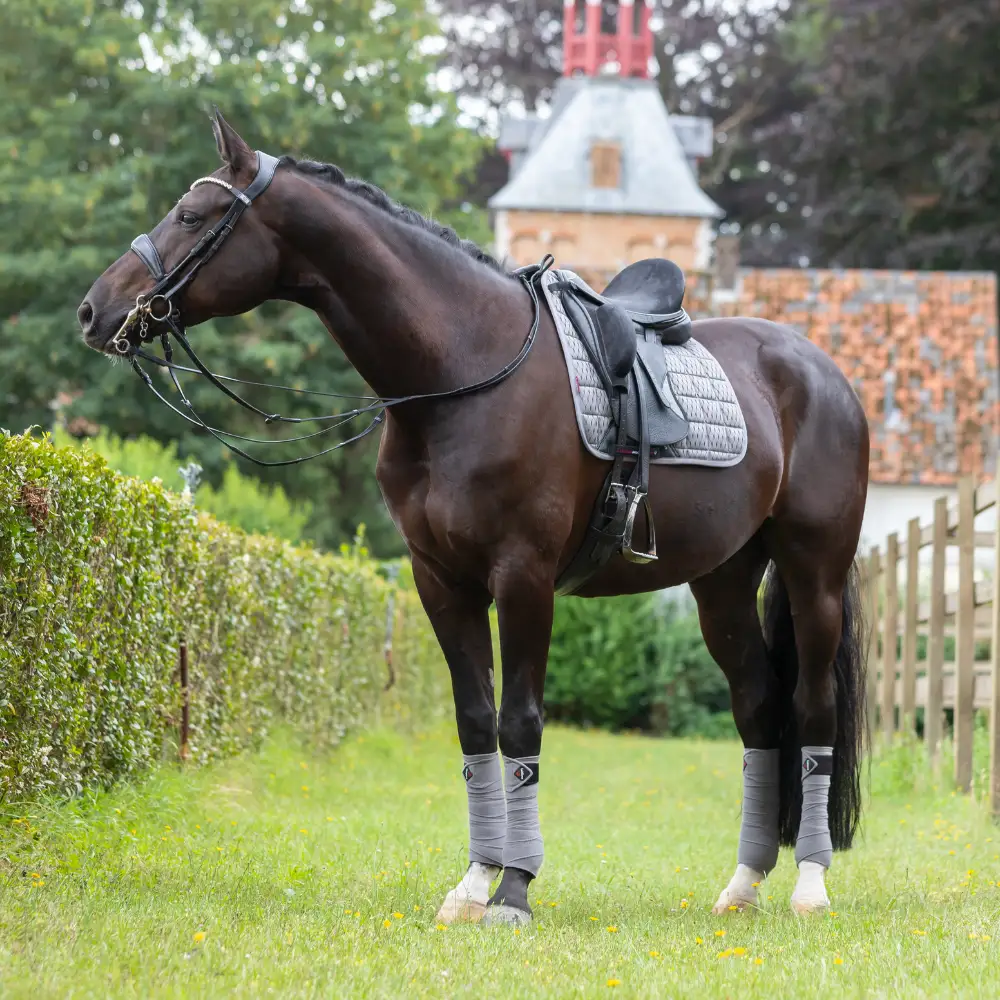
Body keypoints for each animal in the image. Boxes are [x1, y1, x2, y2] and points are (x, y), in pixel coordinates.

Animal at [78, 111, 869, 926]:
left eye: (192, 215)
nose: (95, 310)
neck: (463, 372)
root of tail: (821, 369)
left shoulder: (523, 578)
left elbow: (519, 721)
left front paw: (514, 890)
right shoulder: (441, 582)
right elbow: (473, 722)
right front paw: (472, 881)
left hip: (813, 577)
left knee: (811, 710)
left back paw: (810, 884)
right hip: (722, 585)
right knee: (758, 709)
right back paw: (743, 884)